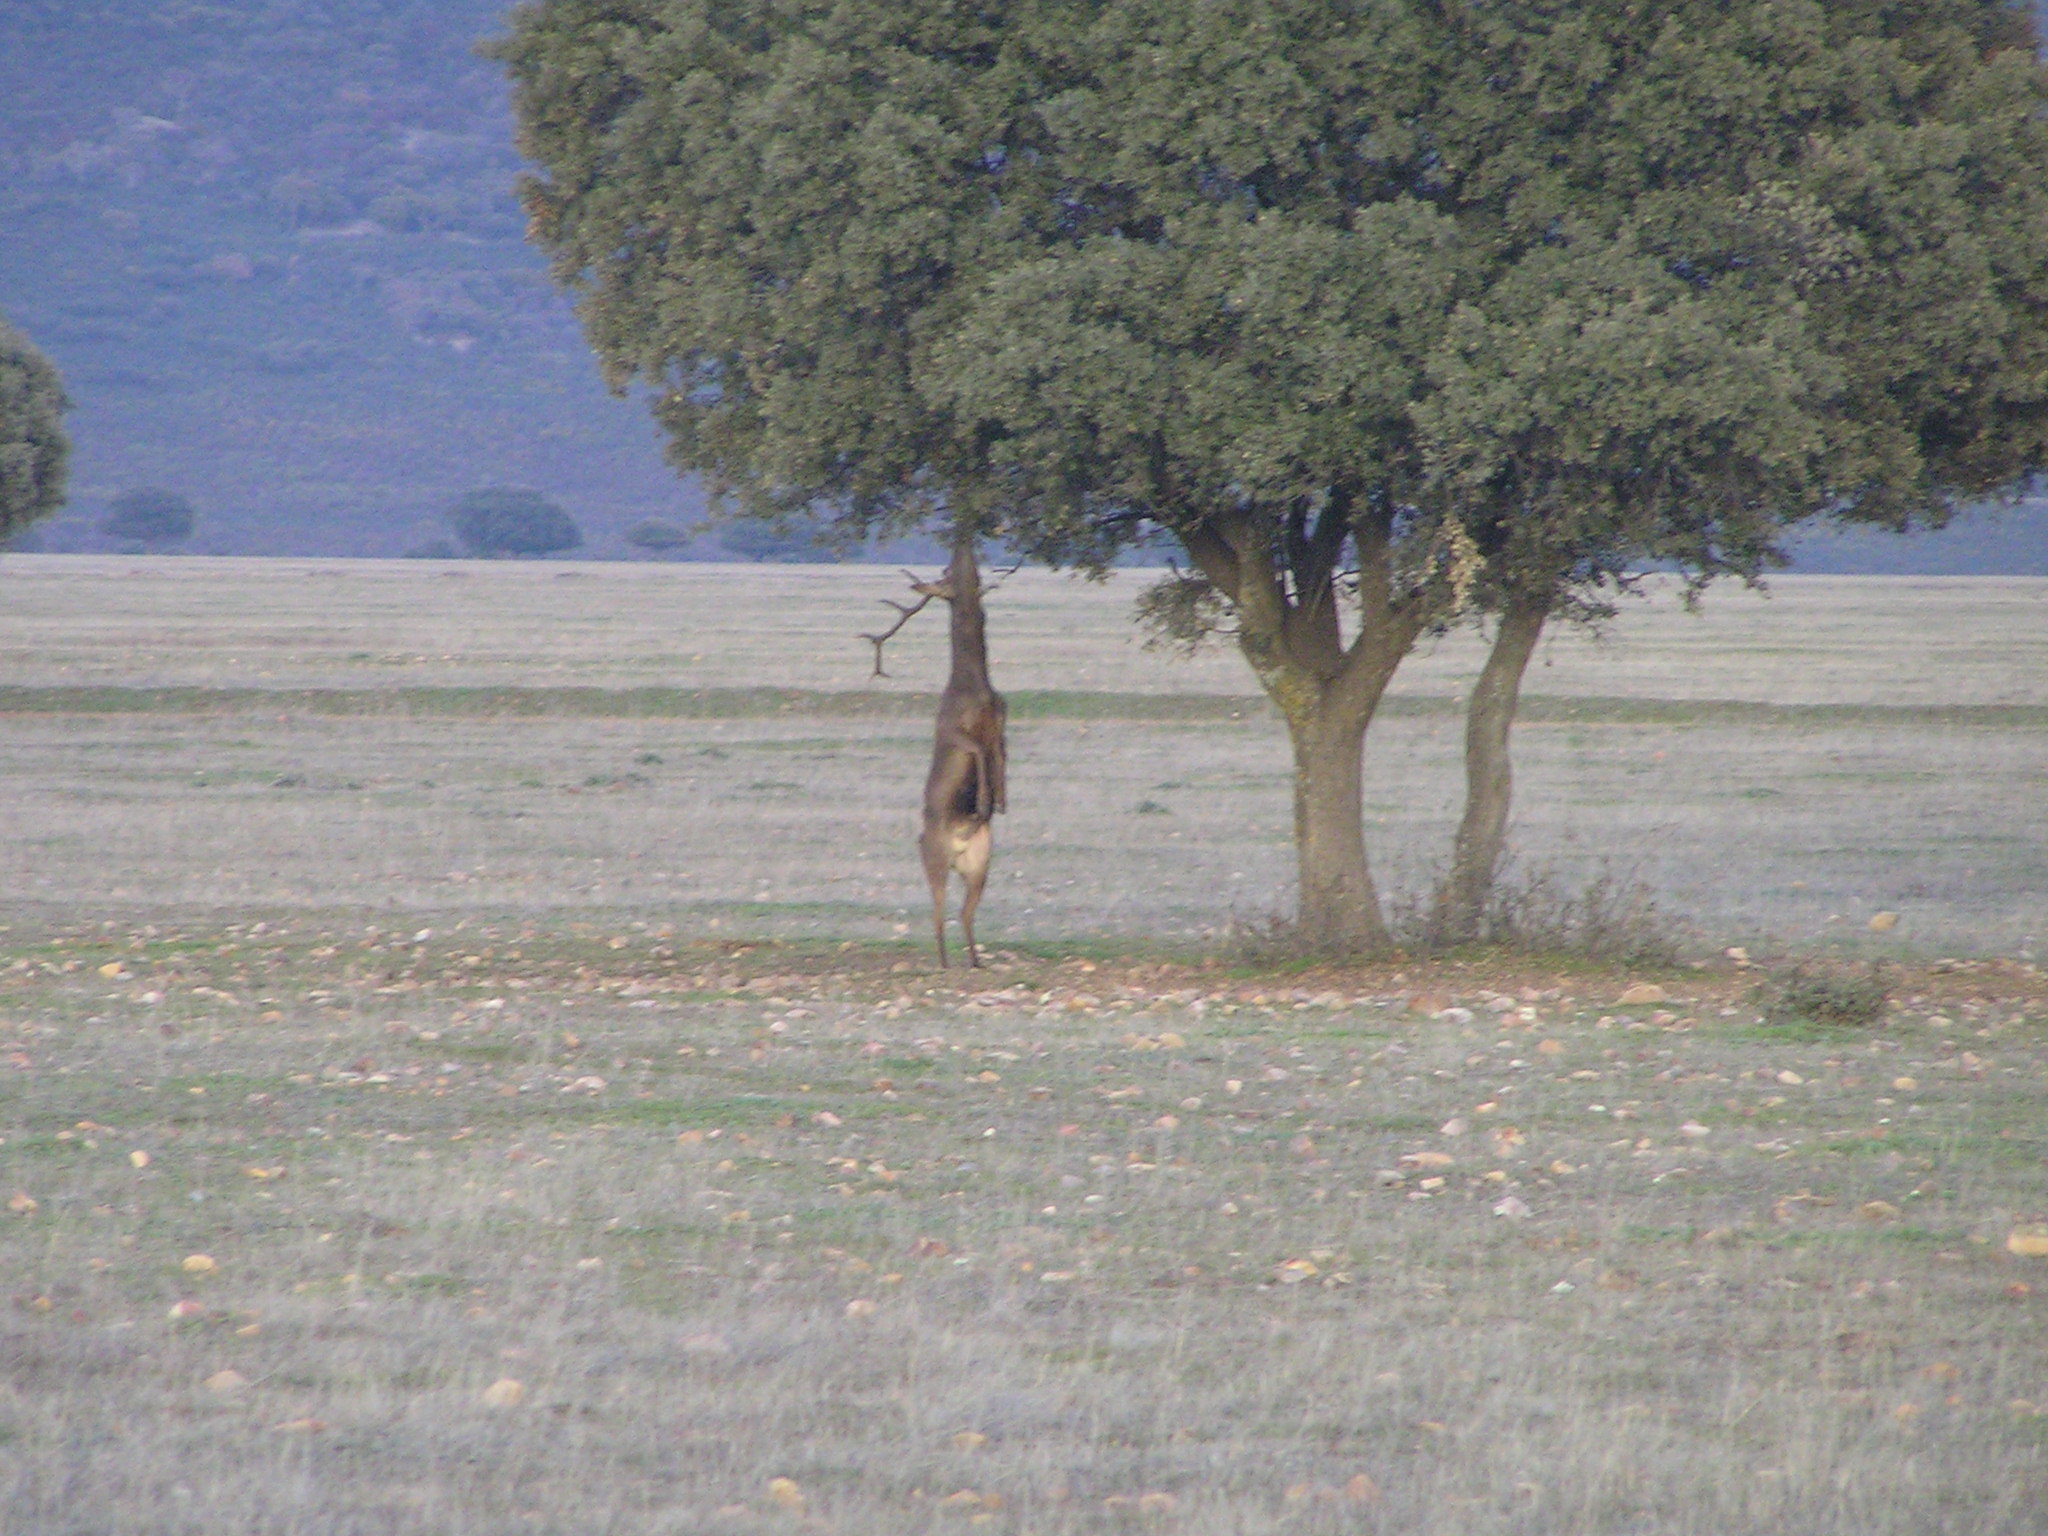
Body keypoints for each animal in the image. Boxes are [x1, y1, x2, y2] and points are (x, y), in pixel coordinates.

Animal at [863, 536, 1007, 968]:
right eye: (946, 579)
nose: (962, 555)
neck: (975, 686)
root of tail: (958, 848)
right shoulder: (953, 730)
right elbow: (979, 752)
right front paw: (983, 802)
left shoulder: (1000, 720)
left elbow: (1000, 757)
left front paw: (1001, 800)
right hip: (934, 858)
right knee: (938, 912)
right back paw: (945, 964)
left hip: (980, 863)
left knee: (965, 911)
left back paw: (975, 961)